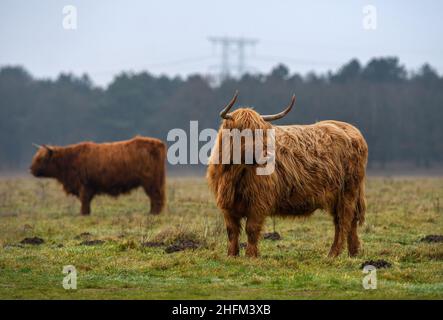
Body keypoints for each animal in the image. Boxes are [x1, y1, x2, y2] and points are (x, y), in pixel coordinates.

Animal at [30, 136, 166, 215]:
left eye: (41, 159)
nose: (31, 169)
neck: (68, 160)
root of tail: (158, 143)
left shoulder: (84, 185)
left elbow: (84, 201)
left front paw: (83, 214)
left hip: (151, 181)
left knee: (156, 196)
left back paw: (153, 213)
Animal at [210, 92, 370, 258]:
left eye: (261, 131)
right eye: (241, 129)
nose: (263, 152)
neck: (235, 173)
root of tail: (350, 129)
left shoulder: (259, 201)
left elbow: (251, 228)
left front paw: (251, 255)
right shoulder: (227, 204)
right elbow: (232, 231)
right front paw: (232, 255)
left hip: (348, 191)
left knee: (344, 220)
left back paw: (333, 254)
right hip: (338, 196)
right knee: (348, 221)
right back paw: (353, 252)